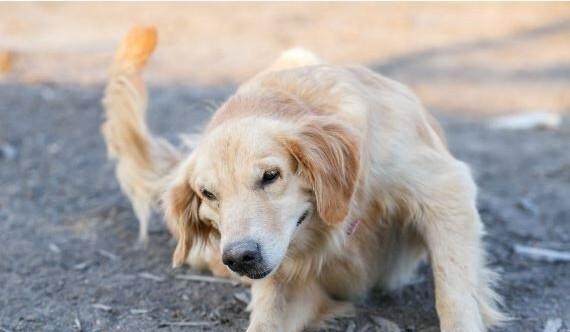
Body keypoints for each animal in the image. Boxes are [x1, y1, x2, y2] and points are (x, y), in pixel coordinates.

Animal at [101, 26, 502, 332]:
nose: (239, 257)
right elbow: (265, 320)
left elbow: (453, 290)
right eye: (208, 194)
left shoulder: (444, 188)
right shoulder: (286, 281)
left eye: (270, 176)